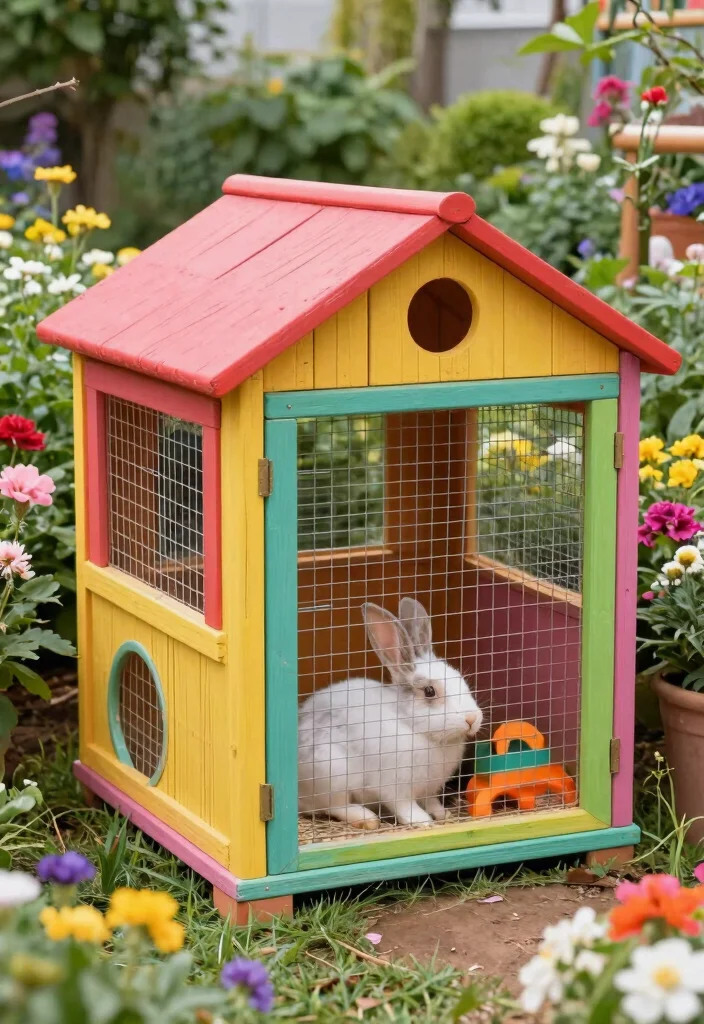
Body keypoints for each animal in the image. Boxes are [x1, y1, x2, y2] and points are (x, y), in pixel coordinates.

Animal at [298, 597, 482, 830]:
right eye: (430, 691)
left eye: (461, 679)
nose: (472, 718)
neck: (414, 727)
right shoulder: (395, 787)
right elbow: (404, 806)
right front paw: (422, 821)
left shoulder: (430, 788)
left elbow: (431, 801)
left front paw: (442, 814)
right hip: (332, 772)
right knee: (335, 806)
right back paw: (367, 818)